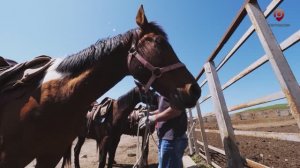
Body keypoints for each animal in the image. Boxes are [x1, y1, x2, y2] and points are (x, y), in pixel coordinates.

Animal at [0, 5, 202, 168]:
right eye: (159, 42)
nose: (195, 90)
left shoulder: (51, 155)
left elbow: (109, 159)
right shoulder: (11, 156)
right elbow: (103, 160)